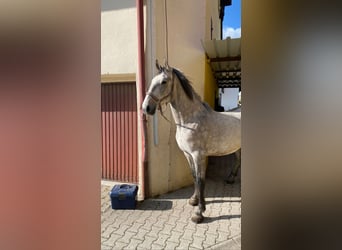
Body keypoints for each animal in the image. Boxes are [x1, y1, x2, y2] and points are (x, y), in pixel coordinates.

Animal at [142, 62, 240, 223]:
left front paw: (199, 212)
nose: (146, 108)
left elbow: (200, 180)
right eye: (152, 81)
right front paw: (194, 200)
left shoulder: (198, 155)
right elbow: (194, 176)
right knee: (238, 161)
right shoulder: (187, 154)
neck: (190, 120)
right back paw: (231, 179)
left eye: (164, 82)